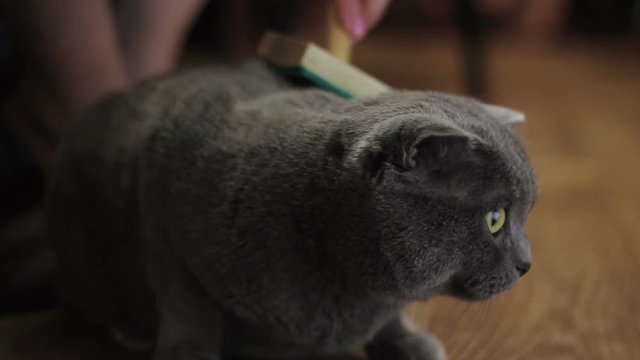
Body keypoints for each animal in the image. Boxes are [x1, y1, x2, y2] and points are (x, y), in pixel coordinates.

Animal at [47, 60, 536, 358]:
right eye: (496, 219)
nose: (528, 264)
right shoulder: (165, 216)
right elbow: (189, 309)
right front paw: (186, 352)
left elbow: (391, 318)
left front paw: (408, 342)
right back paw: (129, 327)